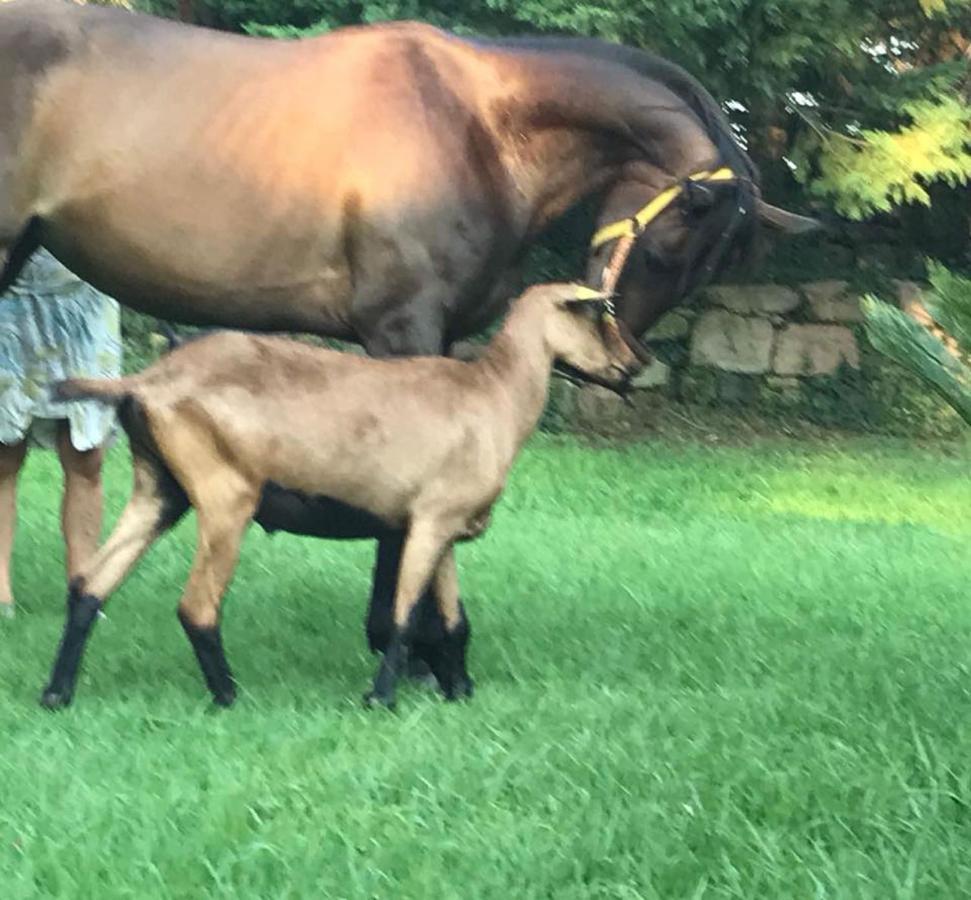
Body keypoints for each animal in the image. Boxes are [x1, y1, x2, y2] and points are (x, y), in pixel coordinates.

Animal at [39, 282, 644, 712]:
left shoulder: (443, 526)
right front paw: (380, 698)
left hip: (159, 491)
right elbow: (404, 615)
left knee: (89, 586)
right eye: (599, 314)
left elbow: (453, 620)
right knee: (197, 608)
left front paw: (459, 691)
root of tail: (146, 383)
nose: (635, 366)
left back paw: (56, 694)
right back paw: (229, 696)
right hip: (225, 496)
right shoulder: (427, 523)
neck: (493, 394)